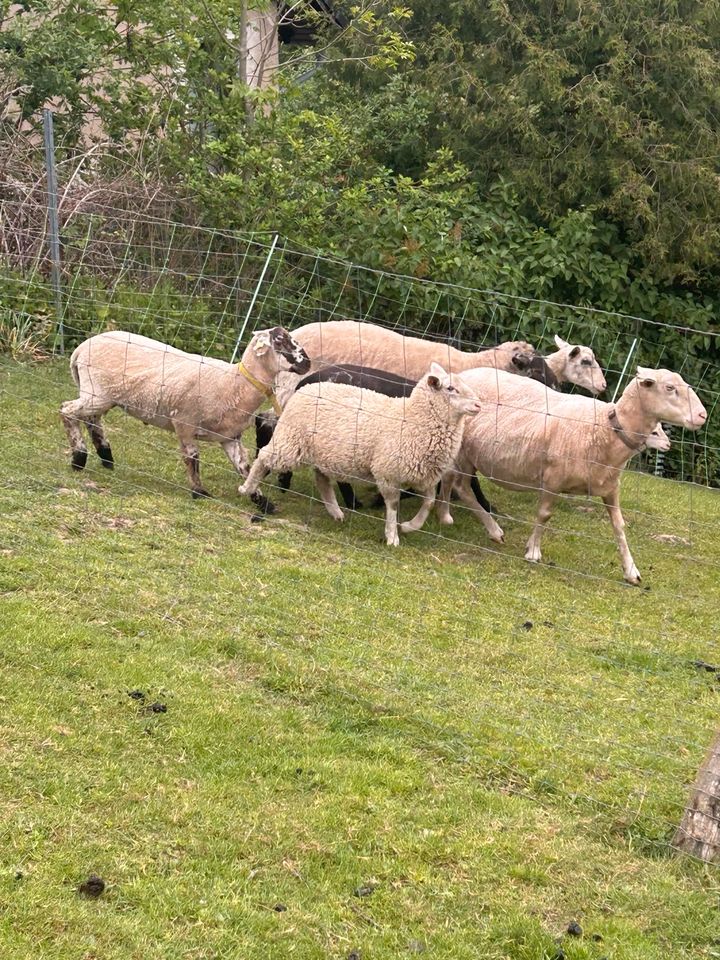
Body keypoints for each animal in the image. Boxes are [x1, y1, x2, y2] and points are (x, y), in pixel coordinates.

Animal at [59, 328, 310, 498]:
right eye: (280, 341)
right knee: (67, 411)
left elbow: (244, 467)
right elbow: (192, 458)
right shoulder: (185, 424)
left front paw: (260, 500)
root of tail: (81, 348)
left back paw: (105, 456)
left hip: (100, 396)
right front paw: (199, 492)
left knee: (91, 419)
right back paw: (79, 458)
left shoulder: (230, 437)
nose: (307, 364)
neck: (235, 383)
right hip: (97, 392)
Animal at [239, 362, 480, 548]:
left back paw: (335, 512)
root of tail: (307, 386)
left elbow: (429, 502)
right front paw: (392, 536)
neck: (411, 417)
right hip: (291, 442)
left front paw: (410, 526)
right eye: (450, 388)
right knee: (264, 458)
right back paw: (248, 487)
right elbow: (393, 506)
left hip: (325, 453)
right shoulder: (388, 473)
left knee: (321, 479)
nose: (478, 404)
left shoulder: (422, 474)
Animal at [436, 364, 704, 580]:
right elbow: (544, 515)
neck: (605, 428)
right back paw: (491, 529)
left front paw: (631, 571)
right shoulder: (553, 478)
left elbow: (619, 526)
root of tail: (460, 375)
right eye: (669, 388)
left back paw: (456, 517)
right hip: (463, 452)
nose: (703, 415)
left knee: (456, 484)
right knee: (461, 487)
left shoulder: (611, 488)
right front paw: (533, 551)